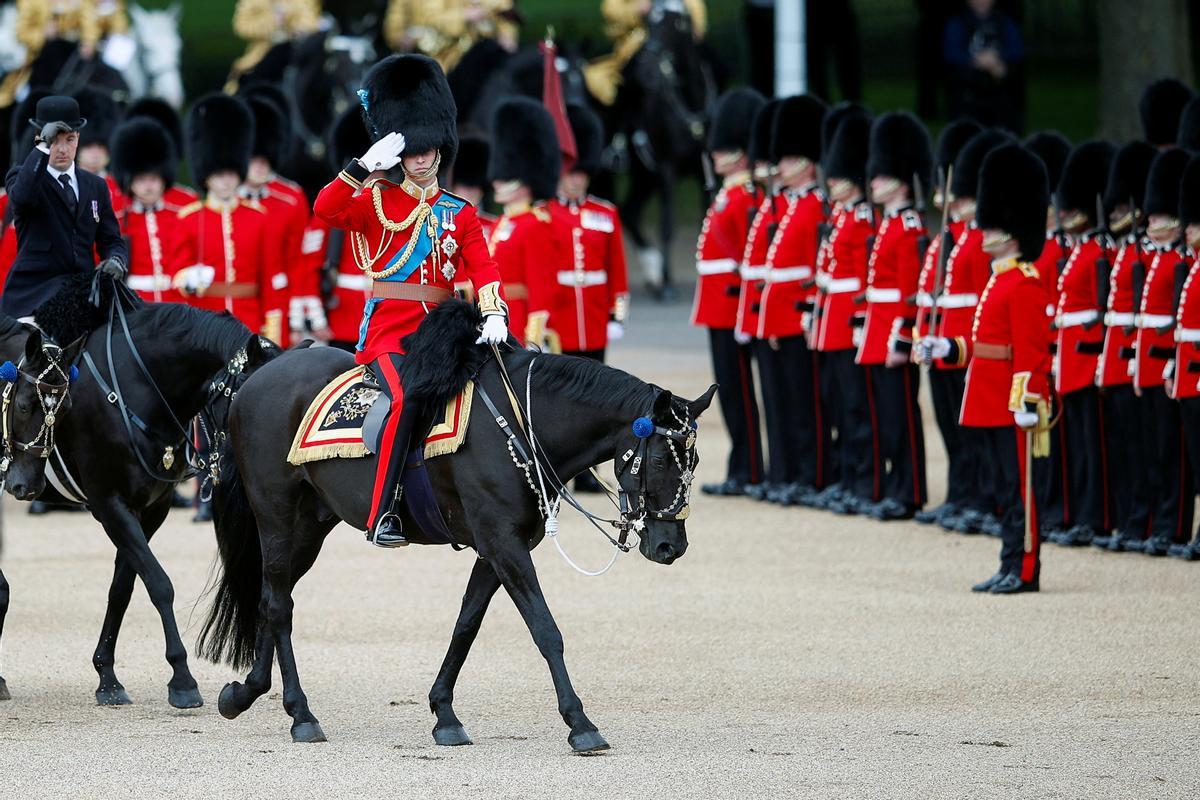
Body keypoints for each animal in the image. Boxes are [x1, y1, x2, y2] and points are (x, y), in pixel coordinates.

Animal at [0, 280, 273, 705]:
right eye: (25, 406)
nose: (23, 485)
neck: (138, 391)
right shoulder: (110, 504)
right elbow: (159, 584)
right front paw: (182, 678)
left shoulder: (150, 508)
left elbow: (124, 587)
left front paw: (107, 676)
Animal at [201, 302, 715, 753]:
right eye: (662, 459)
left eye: (693, 462)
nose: (671, 545)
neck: (519, 421)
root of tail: (260, 377)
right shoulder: (504, 544)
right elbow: (545, 629)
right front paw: (580, 723)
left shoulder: (496, 547)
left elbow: (466, 624)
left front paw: (444, 713)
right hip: (276, 514)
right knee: (277, 603)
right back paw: (301, 714)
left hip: (310, 525)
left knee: (273, 598)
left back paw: (247, 693)